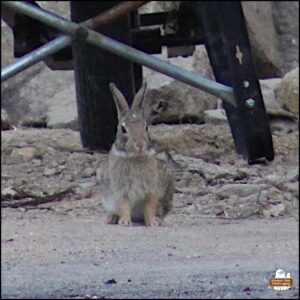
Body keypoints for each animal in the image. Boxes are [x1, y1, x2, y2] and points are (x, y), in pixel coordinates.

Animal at [102, 81, 175, 226]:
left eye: (145, 127)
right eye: (123, 129)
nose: (140, 145)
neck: (134, 157)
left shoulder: (152, 190)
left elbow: (150, 206)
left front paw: (152, 222)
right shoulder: (121, 190)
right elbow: (124, 205)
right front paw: (125, 221)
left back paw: (159, 220)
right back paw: (112, 218)